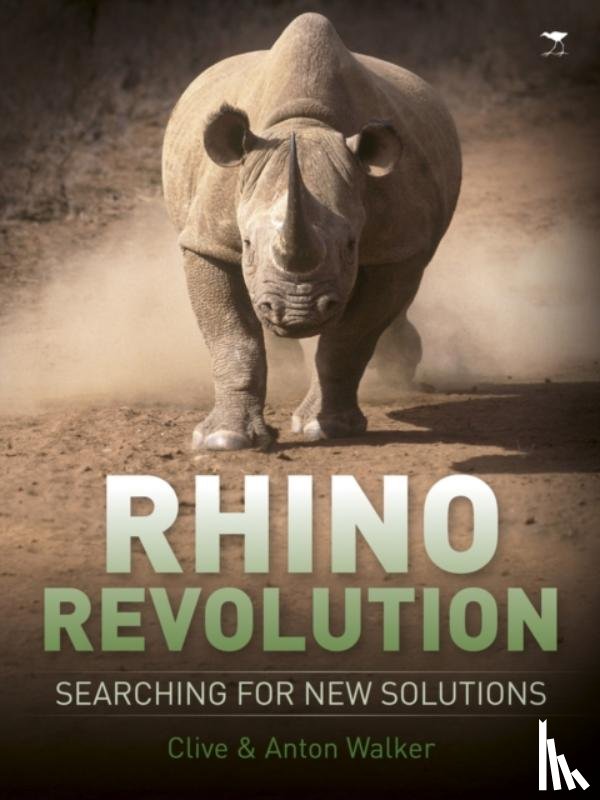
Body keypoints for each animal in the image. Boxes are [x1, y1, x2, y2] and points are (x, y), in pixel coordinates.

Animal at [162, 12, 461, 450]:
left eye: (351, 246)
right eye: (247, 244)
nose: (297, 313)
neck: (304, 123)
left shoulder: (394, 245)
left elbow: (349, 339)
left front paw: (327, 428)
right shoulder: (207, 240)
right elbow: (232, 337)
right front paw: (224, 439)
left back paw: (397, 371)